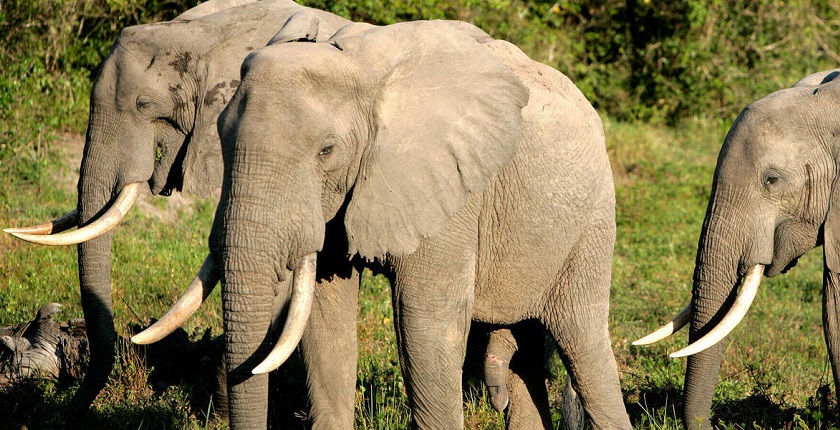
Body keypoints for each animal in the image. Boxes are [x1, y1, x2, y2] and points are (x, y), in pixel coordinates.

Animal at [141, 17, 632, 429]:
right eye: (221, 135)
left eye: (327, 151)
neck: (359, 69)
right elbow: (325, 318)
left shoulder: (447, 188)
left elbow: (426, 325)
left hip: (592, 221)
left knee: (583, 345)